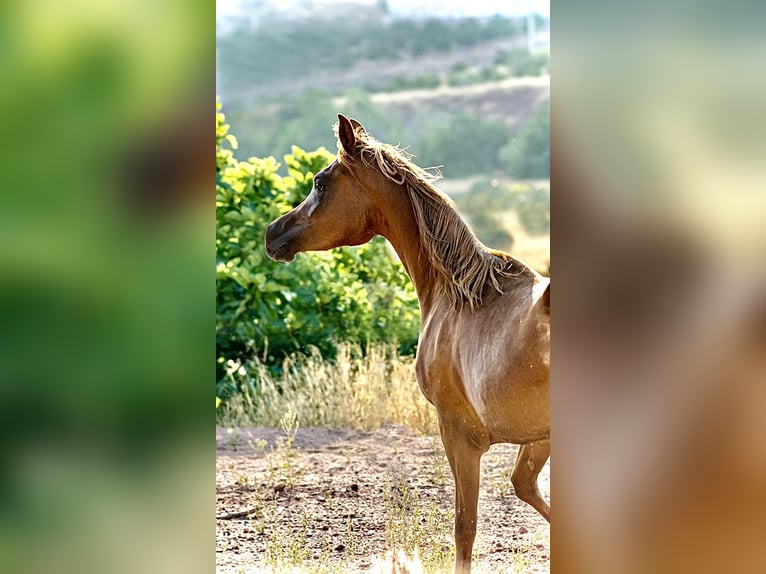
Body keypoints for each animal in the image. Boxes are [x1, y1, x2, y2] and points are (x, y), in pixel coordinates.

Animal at [265, 114, 550, 573]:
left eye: (320, 182)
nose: (272, 234)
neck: (460, 293)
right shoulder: (536, 436)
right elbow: (525, 487)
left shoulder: (460, 436)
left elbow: (465, 530)